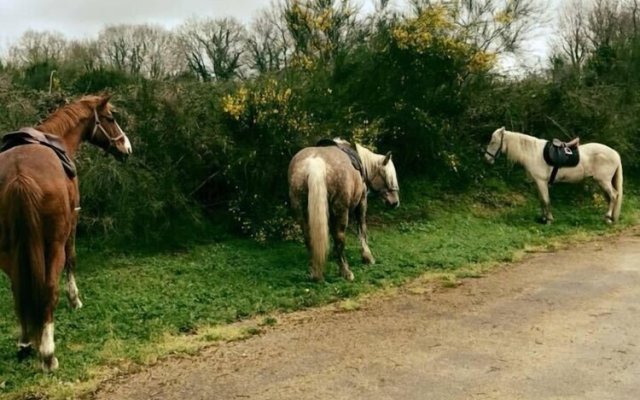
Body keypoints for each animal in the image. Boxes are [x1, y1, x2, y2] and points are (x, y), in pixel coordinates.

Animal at [0, 94, 131, 372]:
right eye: (110, 118)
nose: (126, 147)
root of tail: (19, 174)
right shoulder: (72, 222)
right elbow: (72, 261)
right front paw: (75, 300)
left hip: (7, 251)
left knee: (18, 289)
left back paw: (25, 343)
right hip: (54, 243)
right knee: (49, 288)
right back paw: (48, 354)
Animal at [288, 140, 398, 282]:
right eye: (388, 176)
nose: (395, 202)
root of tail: (315, 162)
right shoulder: (362, 202)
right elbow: (362, 229)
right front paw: (367, 257)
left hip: (302, 212)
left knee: (309, 238)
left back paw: (315, 273)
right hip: (341, 211)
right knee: (339, 238)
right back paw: (346, 272)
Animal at [484, 126, 620, 223]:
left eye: (493, 141)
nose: (487, 158)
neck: (533, 153)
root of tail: (615, 153)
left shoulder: (541, 181)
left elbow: (546, 200)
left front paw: (549, 219)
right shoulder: (538, 183)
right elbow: (542, 200)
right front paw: (543, 218)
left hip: (604, 181)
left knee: (614, 195)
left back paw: (608, 218)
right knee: (611, 197)